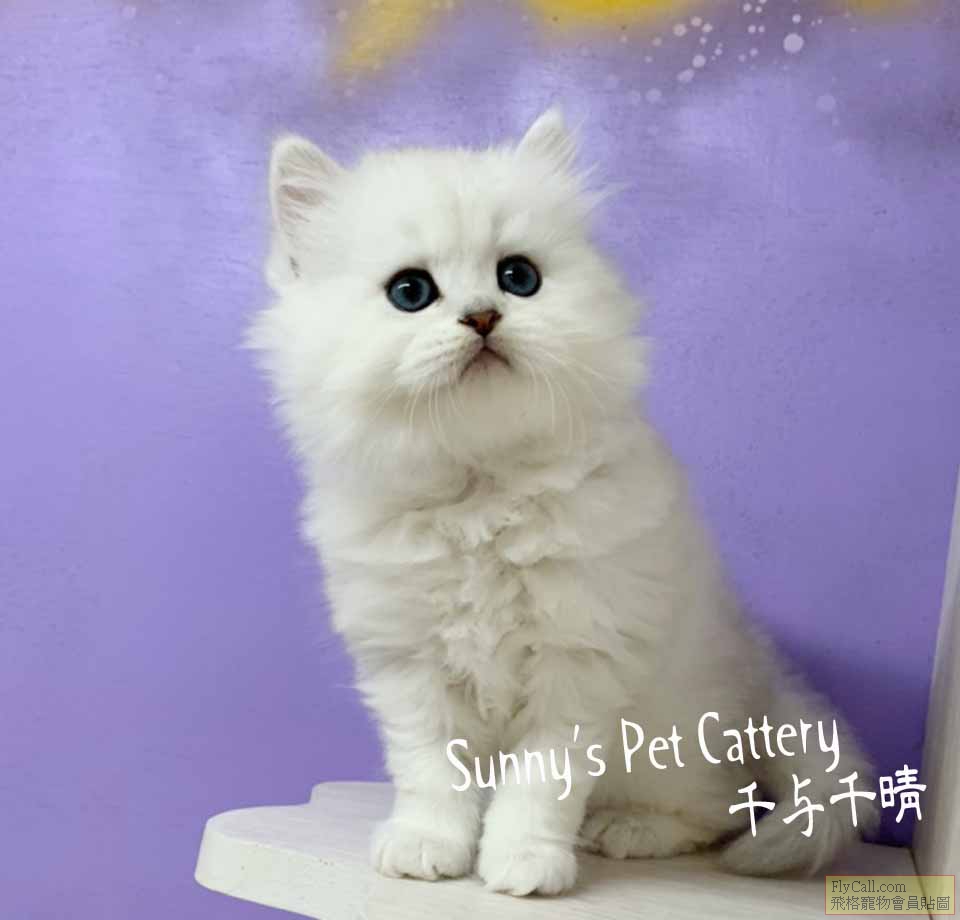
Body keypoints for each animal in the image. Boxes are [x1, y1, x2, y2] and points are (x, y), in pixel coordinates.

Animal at [250, 109, 877, 896]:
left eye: (518, 278)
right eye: (410, 292)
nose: (484, 317)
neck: (480, 492)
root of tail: (765, 687)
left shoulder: (580, 658)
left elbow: (541, 782)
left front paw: (523, 862)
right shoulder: (409, 666)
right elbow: (431, 773)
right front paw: (430, 845)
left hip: (674, 732)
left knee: (714, 810)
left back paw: (629, 830)